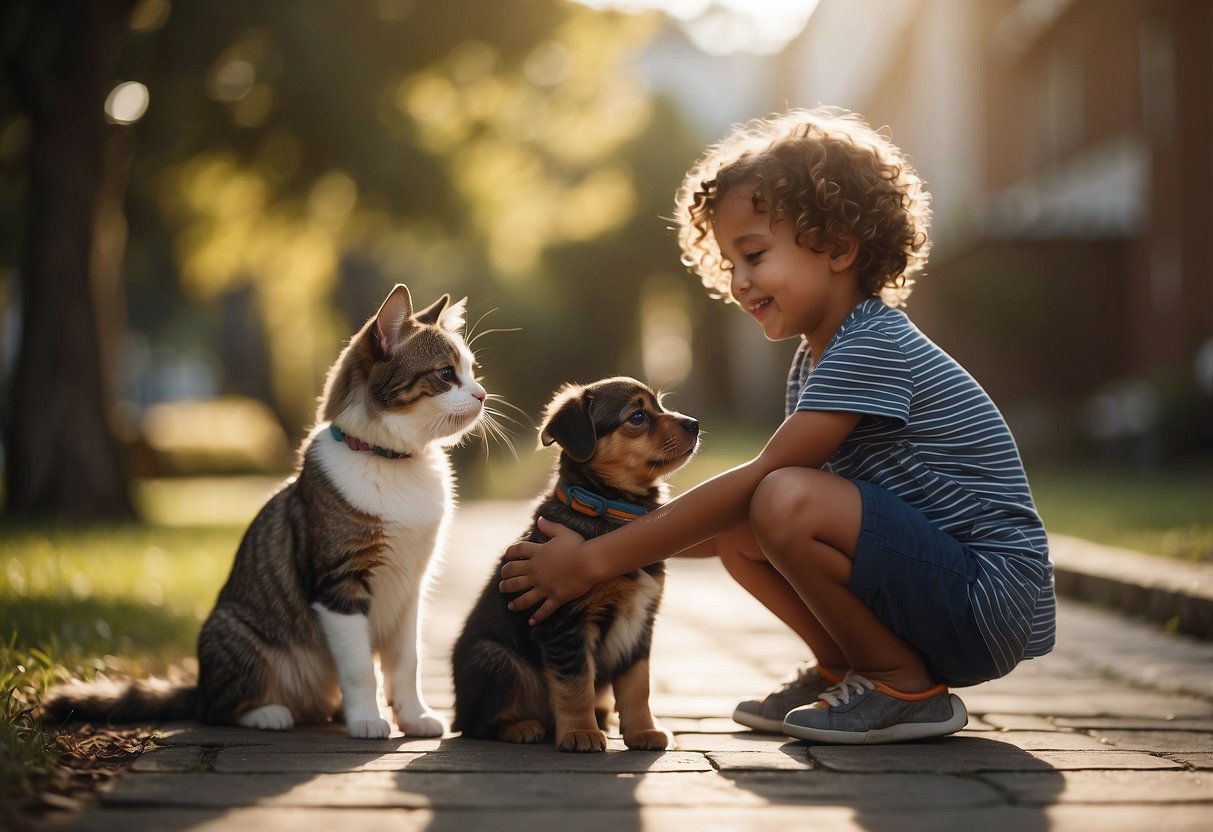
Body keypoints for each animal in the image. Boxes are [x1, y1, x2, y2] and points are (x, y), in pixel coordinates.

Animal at [42, 283, 487, 742]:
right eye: (445, 373)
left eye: (472, 370)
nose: (482, 395)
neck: (392, 461)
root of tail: (199, 684)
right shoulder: (338, 583)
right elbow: (361, 667)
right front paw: (367, 718)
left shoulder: (410, 588)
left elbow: (407, 662)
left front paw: (414, 716)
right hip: (233, 631)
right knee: (216, 709)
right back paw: (269, 714)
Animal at [453, 378, 703, 756]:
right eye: (638, 416)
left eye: (659, 406)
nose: (695, 424)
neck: (614, 512)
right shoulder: (564, 620)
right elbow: (575, 683)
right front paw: (580, 733)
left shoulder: (641, 621)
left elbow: (637, 683)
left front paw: (643, 731)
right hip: (494, 657)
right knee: (476, 724)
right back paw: (522, 727)